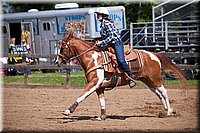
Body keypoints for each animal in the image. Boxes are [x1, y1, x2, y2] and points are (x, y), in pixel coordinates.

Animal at [55, 32, 186, 120]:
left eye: (63, 47)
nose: (57, 61)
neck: (92, 59)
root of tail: (154, 54)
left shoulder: (95, 82)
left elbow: (83, 95)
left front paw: (68, 110)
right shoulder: (99, 86)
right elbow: (101, 100)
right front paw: (102, 116)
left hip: (156, 79)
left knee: (163, 92)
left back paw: (168, 112)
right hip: (148, 81)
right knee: (158, 94)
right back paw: (166, 111)